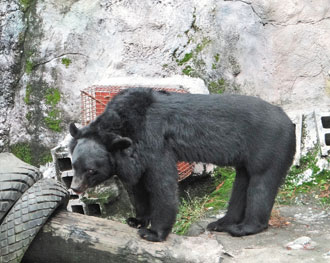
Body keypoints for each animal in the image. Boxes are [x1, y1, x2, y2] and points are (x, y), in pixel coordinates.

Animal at [68, 88, 296, 243]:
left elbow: (162, 184)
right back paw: (221, 223)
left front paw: (152, 233)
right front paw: (136, 220)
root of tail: (289, 120)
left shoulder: (154, 142)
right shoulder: (135, 157)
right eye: (74, 165)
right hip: (248, 158)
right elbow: (138, 187)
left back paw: (245, 228)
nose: (75, 188)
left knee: (261, 182)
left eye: (91, 170)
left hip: (268, 145)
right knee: (242, 183)